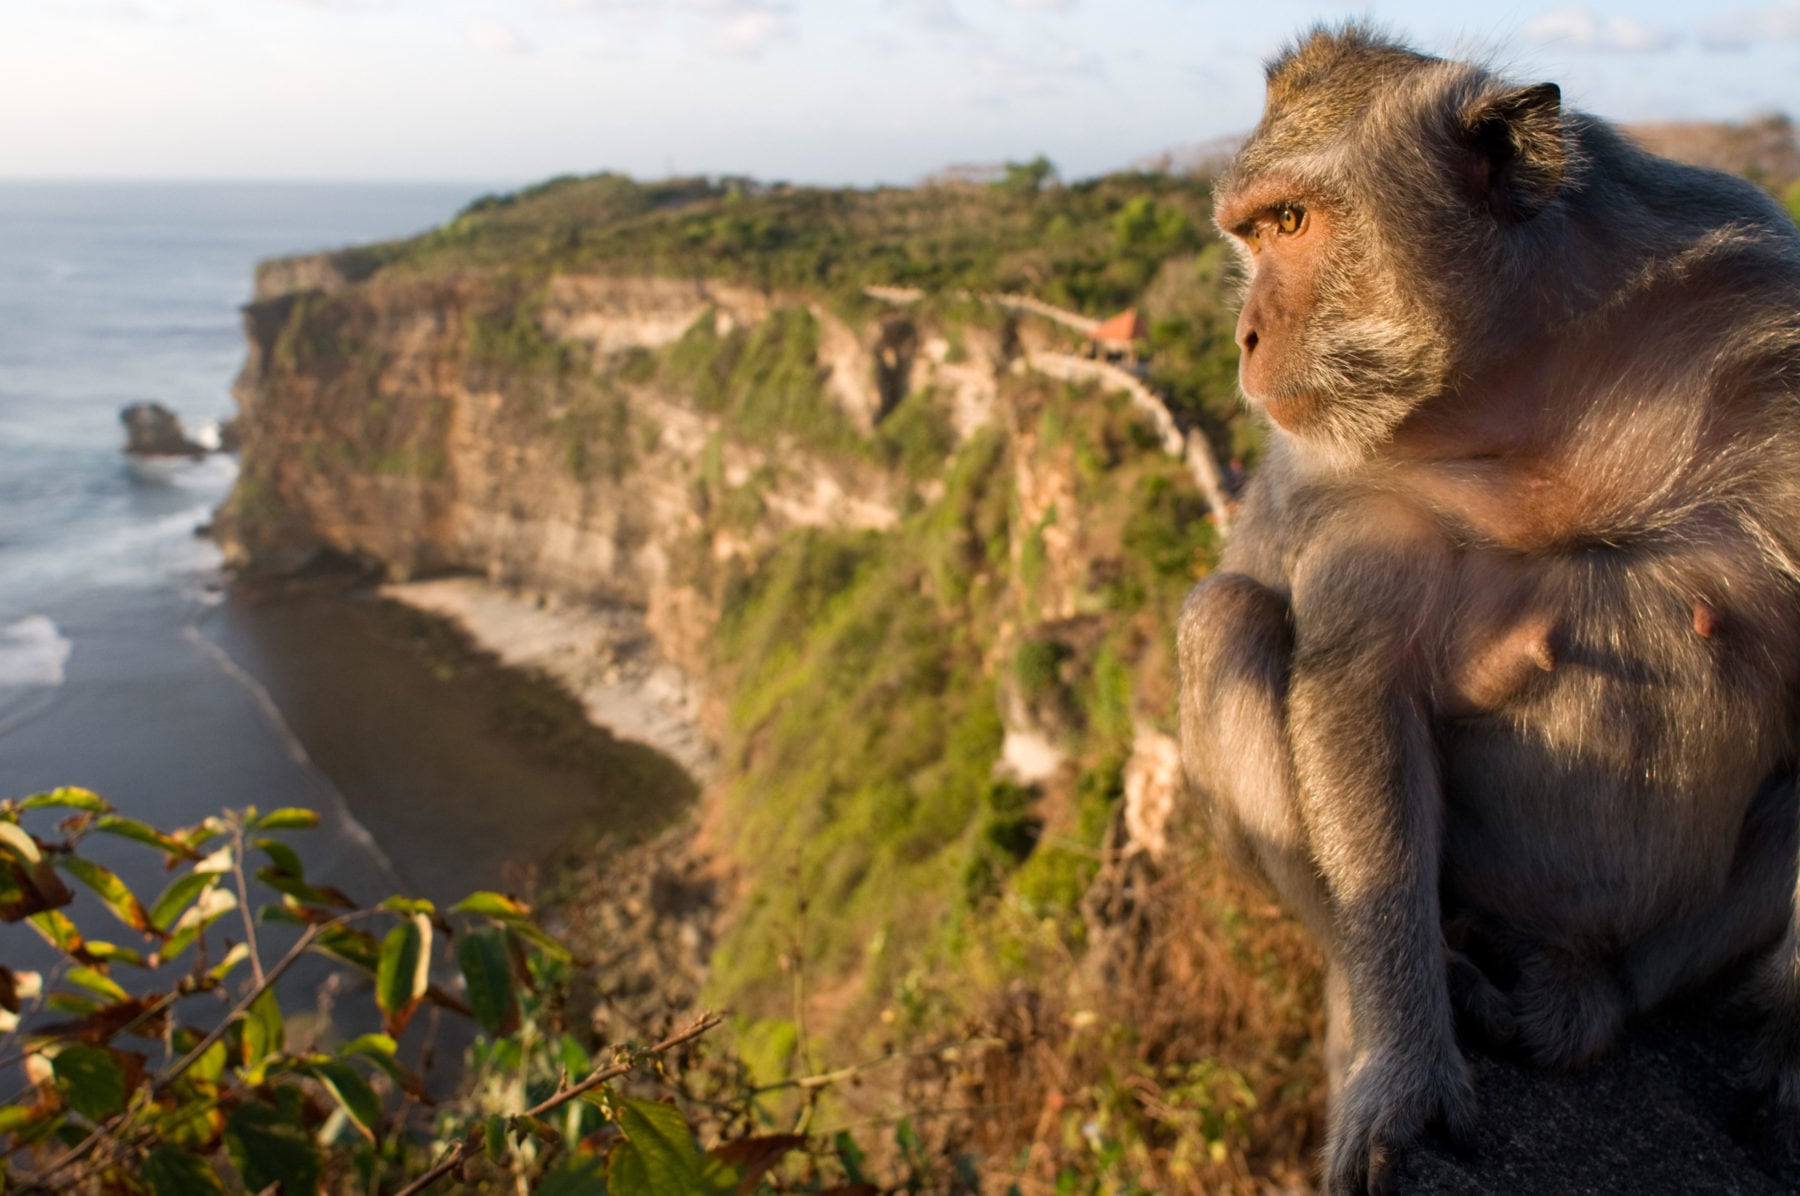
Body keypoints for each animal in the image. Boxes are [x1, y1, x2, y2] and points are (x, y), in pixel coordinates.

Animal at [1173, 21, 1800, 1196]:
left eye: (1293, 222)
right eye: (1251, 233)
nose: (1243, 334)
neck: (1530, 392)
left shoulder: (1770, 340)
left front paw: (1792, 1052)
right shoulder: (1349, 489)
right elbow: (1358, 695)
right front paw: (1403, 1067)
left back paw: (1591, 991)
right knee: (1225, 618)